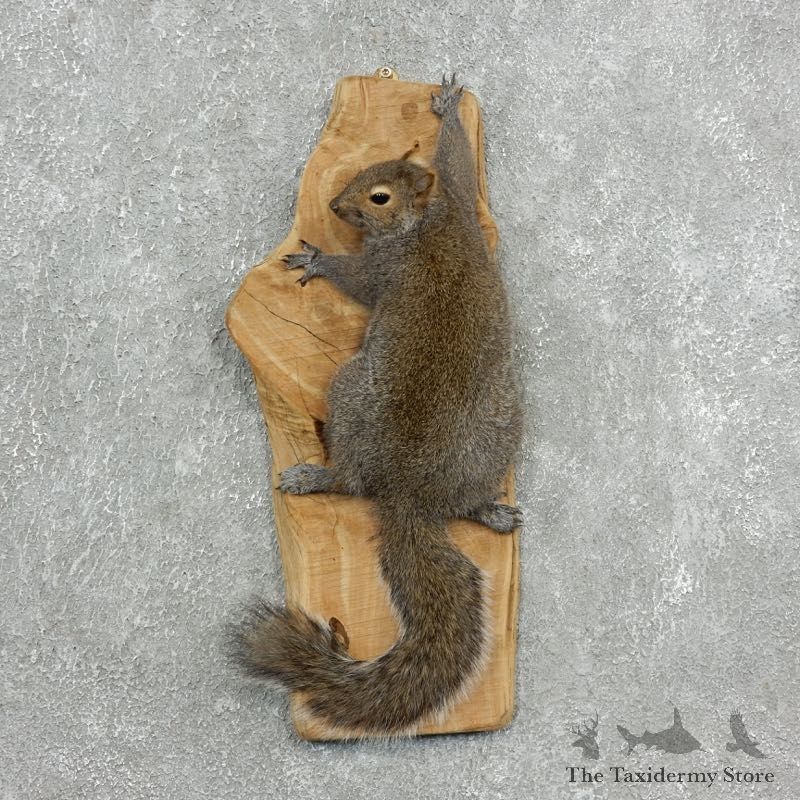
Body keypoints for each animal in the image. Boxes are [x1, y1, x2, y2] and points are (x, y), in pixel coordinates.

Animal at [235, 75, 523, 737]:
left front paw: (318, 259)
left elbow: (362, 273)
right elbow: (457, 163)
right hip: (496, 434)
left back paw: (316, 476)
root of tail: (408, 494)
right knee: (463, 505)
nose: (337, 207)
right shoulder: (462, 206)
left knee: (351, 481)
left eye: (379, 195)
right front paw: (447, 107)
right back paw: (490, 512)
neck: (425, 225)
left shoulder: (400, 254)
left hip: (349, 395)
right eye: (368, 169)